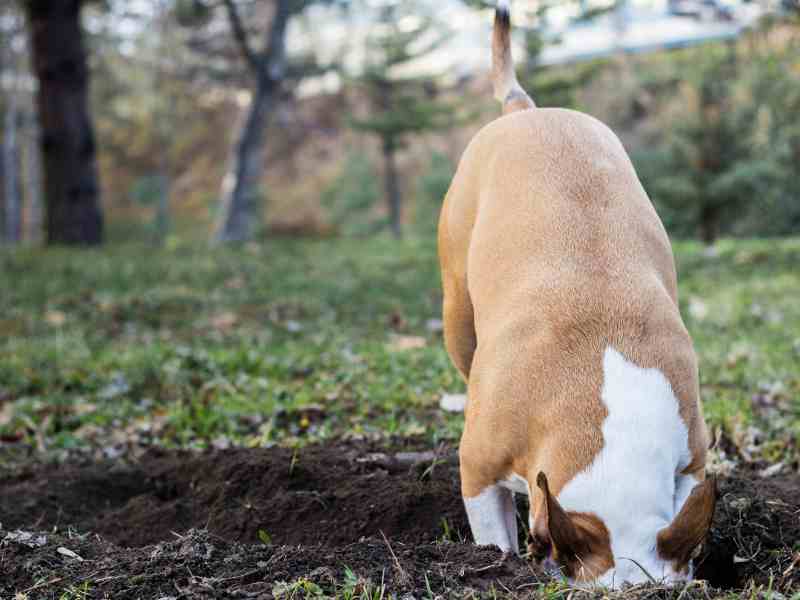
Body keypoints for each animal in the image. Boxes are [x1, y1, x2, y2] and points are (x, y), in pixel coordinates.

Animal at [440, 0, 716, 588]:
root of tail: (525, 111)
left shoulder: (690, 460)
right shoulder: (478, 471)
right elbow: (493, 533)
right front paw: (498, 562)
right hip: (456, 315)